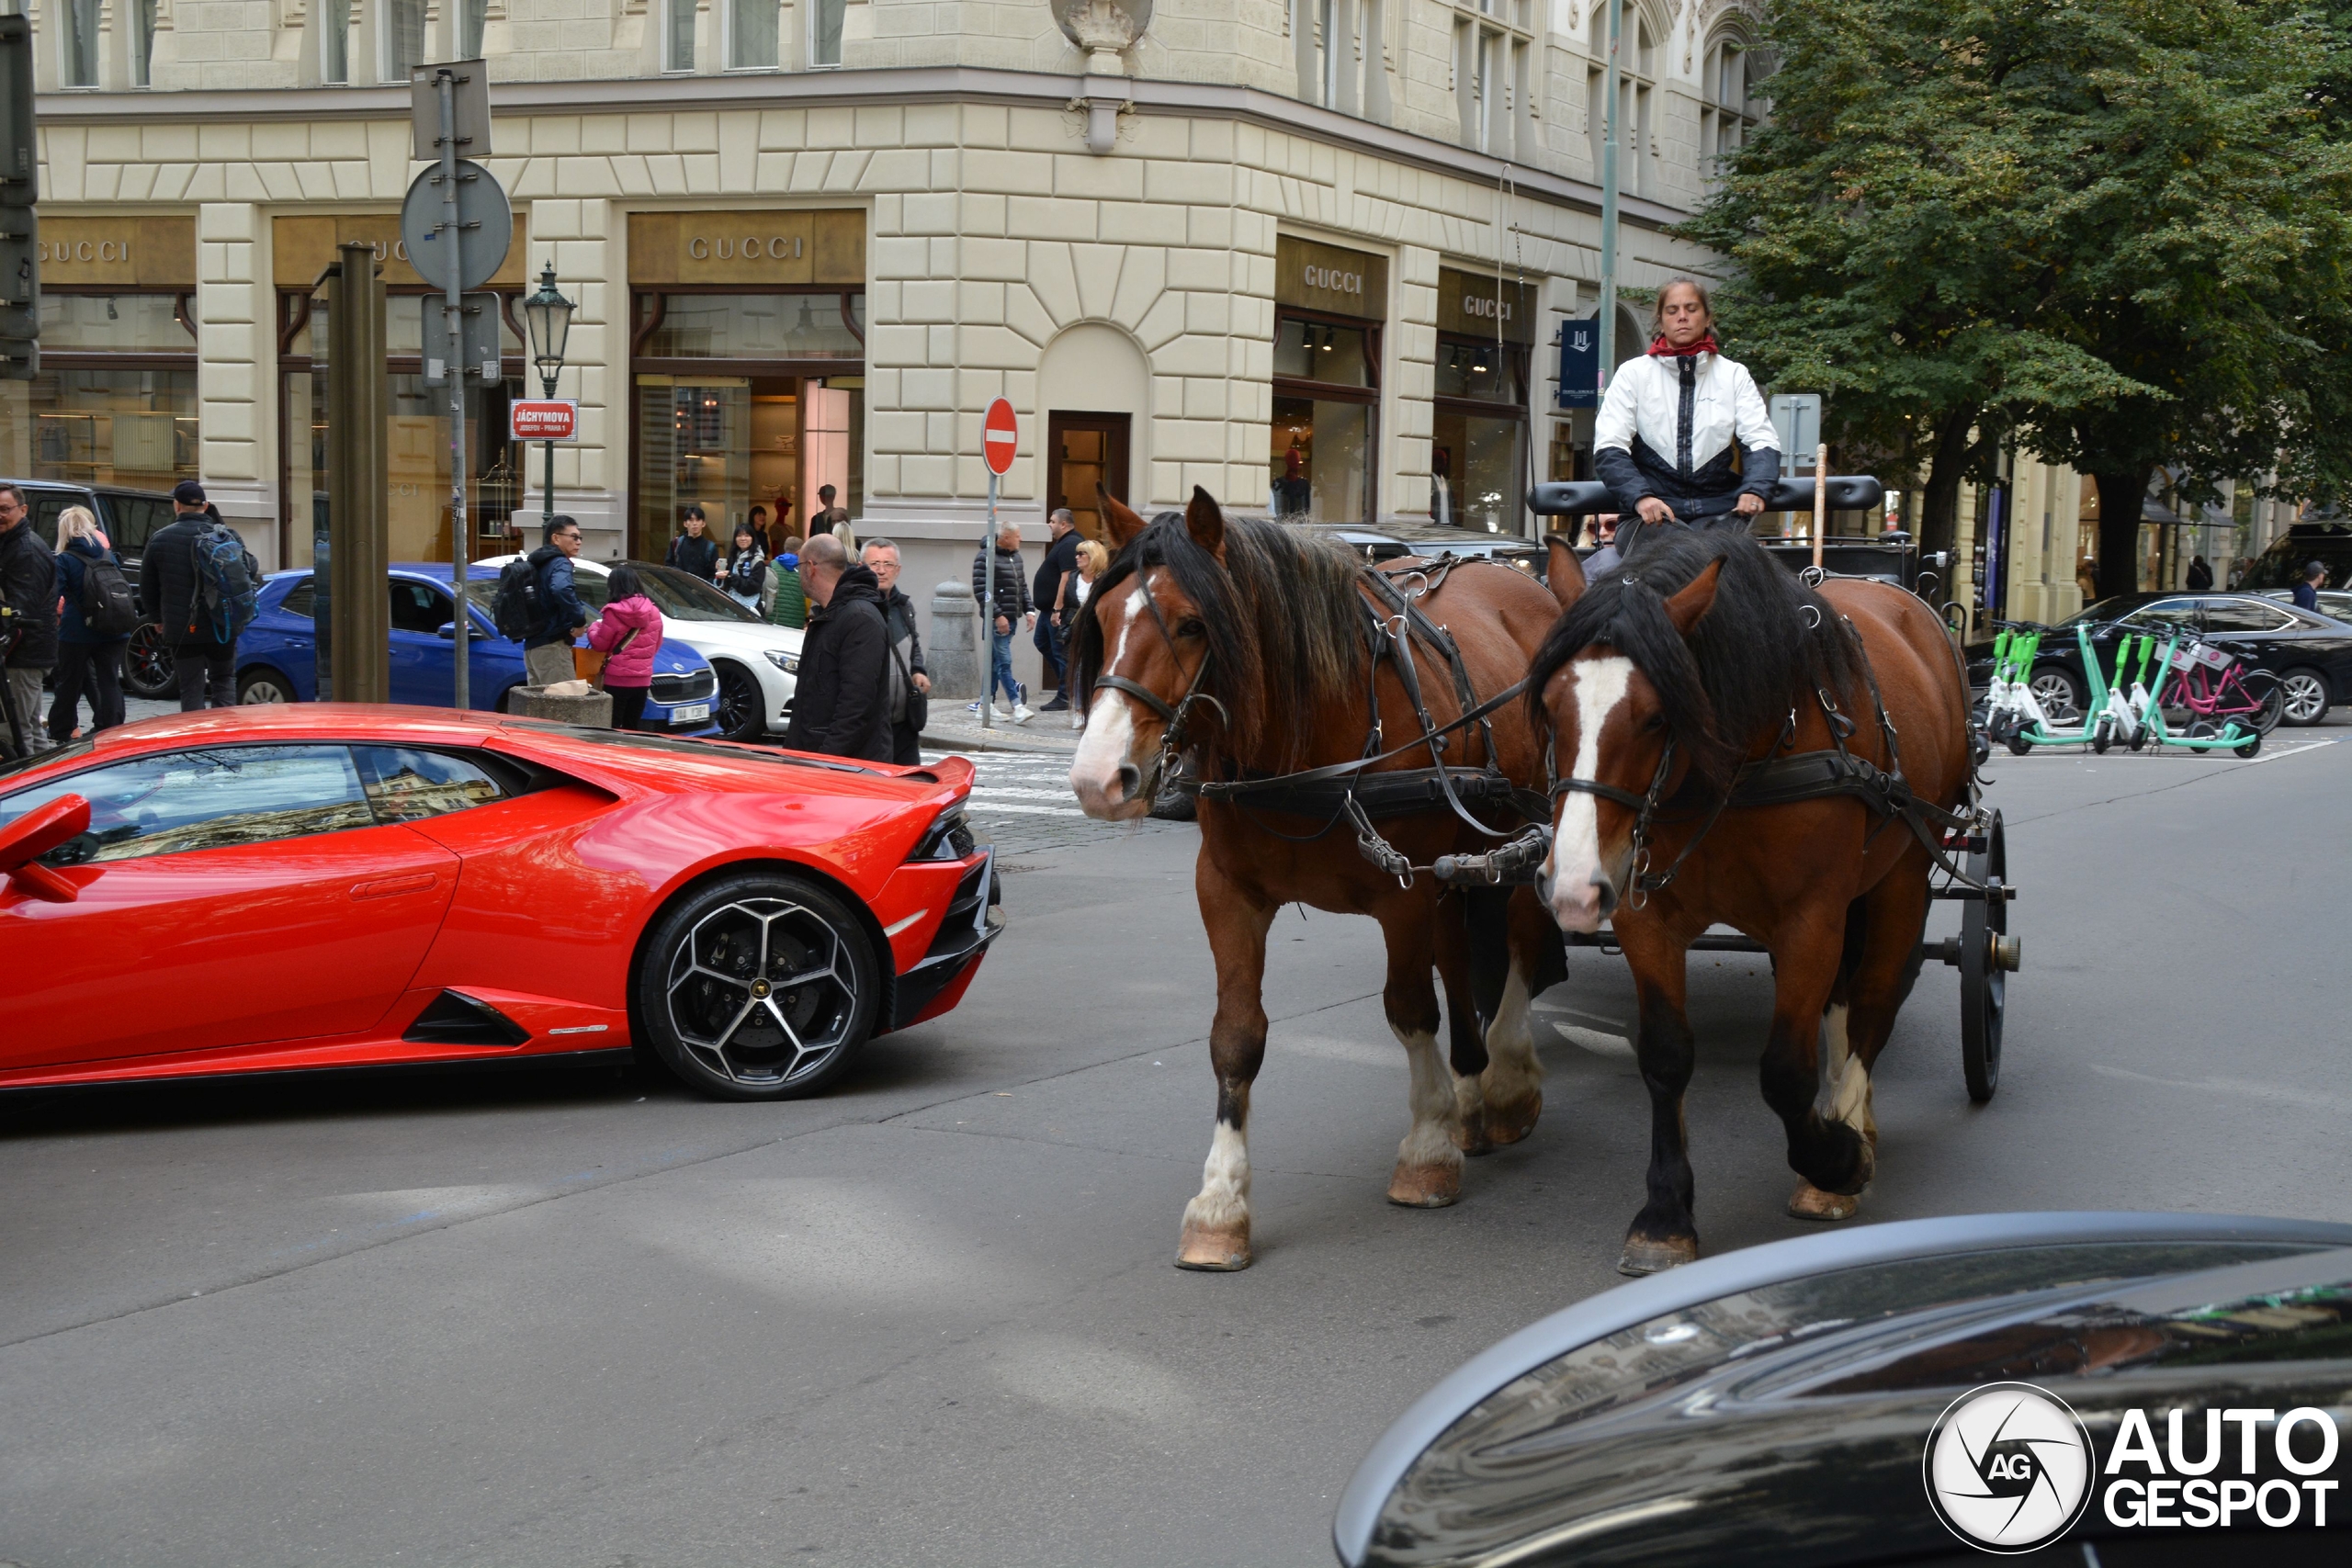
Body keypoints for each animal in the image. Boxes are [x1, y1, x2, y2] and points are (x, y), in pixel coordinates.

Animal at [1077, 491, 1571, 1279]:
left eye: (1192, 623)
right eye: (1099, 618)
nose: (1098, 779)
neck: (1308, 746)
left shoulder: (1402, 893)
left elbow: (1409, 1009)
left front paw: (1425, 1149)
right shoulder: (1227, 892)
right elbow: (1236, 1037)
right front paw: (1221, 1204)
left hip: (1536, 831)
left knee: (1519, 943)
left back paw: (1505, 1082)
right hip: (1457, 862)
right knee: (1460, 955)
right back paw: (1469, 1091)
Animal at [1533, 524, 1975, 1279]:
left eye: (1657, 717)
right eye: (1551, 707)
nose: (1575, 888)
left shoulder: (1810, 919)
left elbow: (1785, 1072)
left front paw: (1836, 1160)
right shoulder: (1646, 918)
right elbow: (1665, 1056)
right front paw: (1665, 1215)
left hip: (1906, 869)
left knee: (1877, 994)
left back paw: (1850, 1128)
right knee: (1845, 1000)